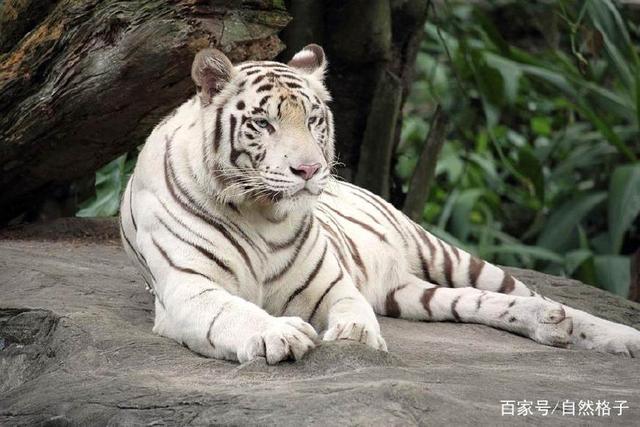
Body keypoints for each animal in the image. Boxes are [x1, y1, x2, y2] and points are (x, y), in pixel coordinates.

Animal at [119, 44, 640, 364]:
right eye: (264, 124)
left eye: (313, 119)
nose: (309, 171)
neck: (262, 212)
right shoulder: (189, 289)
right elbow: (232, 312)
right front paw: (279, 333)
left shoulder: (330, 284)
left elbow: (350, 308)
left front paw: (355, 336)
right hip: (411, 294)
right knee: (480, 303)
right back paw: (552, 327)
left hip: (446, 255)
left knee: (537, 295)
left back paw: (610, 334)